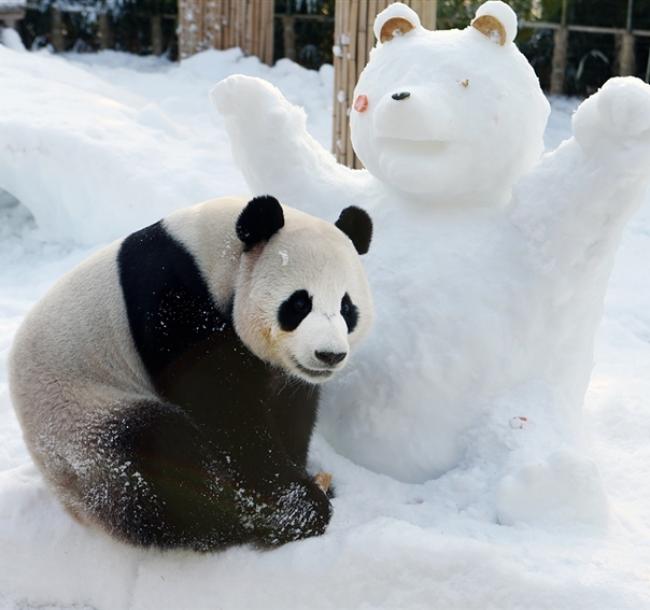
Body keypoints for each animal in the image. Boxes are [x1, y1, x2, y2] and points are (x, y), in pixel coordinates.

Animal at [8, 196, 374, 552]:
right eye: (299, 304)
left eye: (346, 308)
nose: (329, 355)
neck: (217, 256)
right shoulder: (175, 304)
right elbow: (225, 412)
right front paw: (295, 506)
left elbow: (288, 408)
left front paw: (302, 478)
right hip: (83, 421)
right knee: (158, 465)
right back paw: (247, 521)